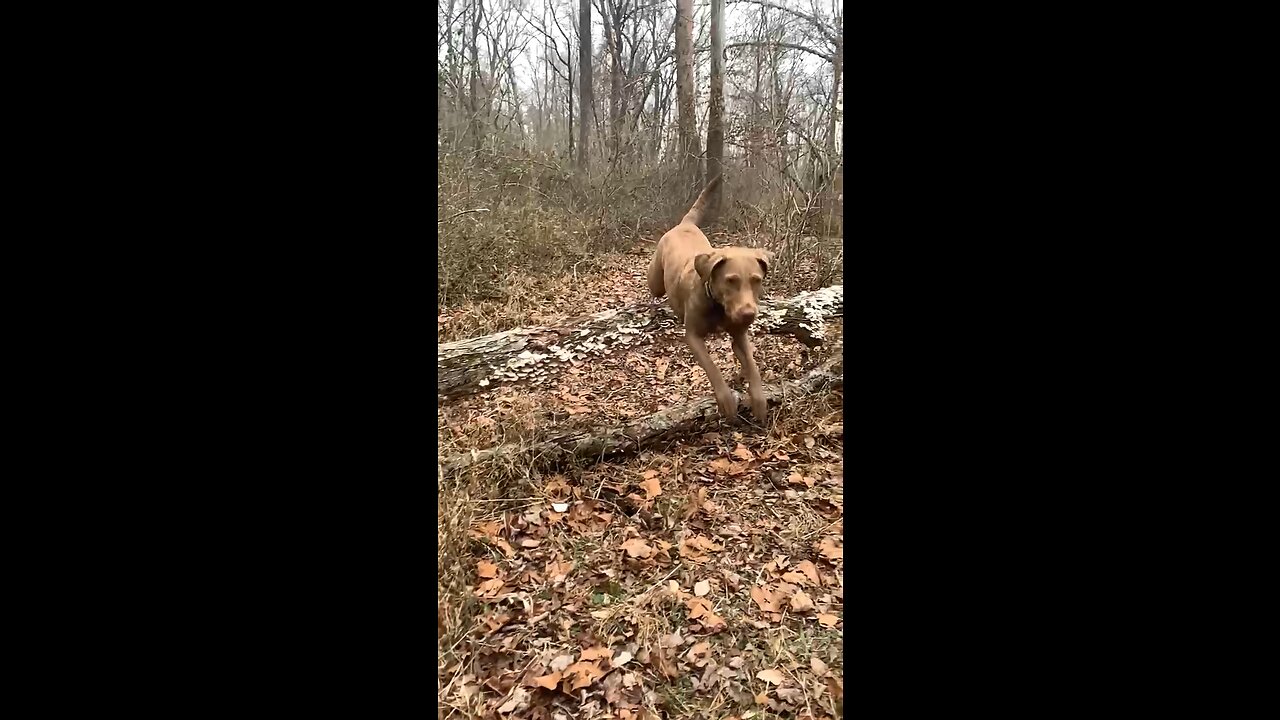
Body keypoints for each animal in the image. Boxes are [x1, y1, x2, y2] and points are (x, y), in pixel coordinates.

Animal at [645, 174, 773, 420]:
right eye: (730, 280)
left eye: (756, 280)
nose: (748, 314)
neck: (718, 306)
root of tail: (685, 224)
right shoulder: (693, 336)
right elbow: (712, 368)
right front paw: (726, 402)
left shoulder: (739, 336)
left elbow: (753, 367)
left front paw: (760, 402)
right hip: (655, 281)